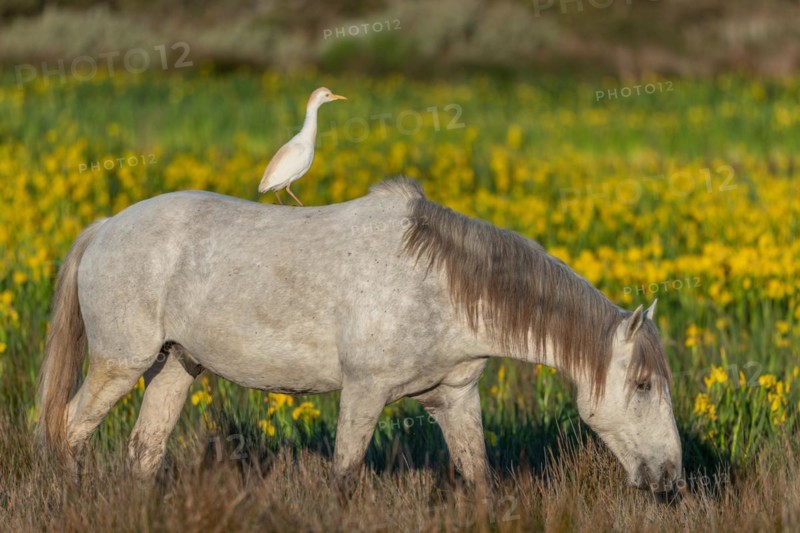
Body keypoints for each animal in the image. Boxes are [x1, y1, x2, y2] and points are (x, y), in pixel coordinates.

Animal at [37, 177, 681, 496]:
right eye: (643, 385)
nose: (672, 476)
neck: (440, 283)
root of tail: (105, 228)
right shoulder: (365, 392)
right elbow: (344, 478)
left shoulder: (454, 398)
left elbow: (479, 480)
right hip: (120, 363)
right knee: (68, 432)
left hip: (175, 366)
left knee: (143, 451)